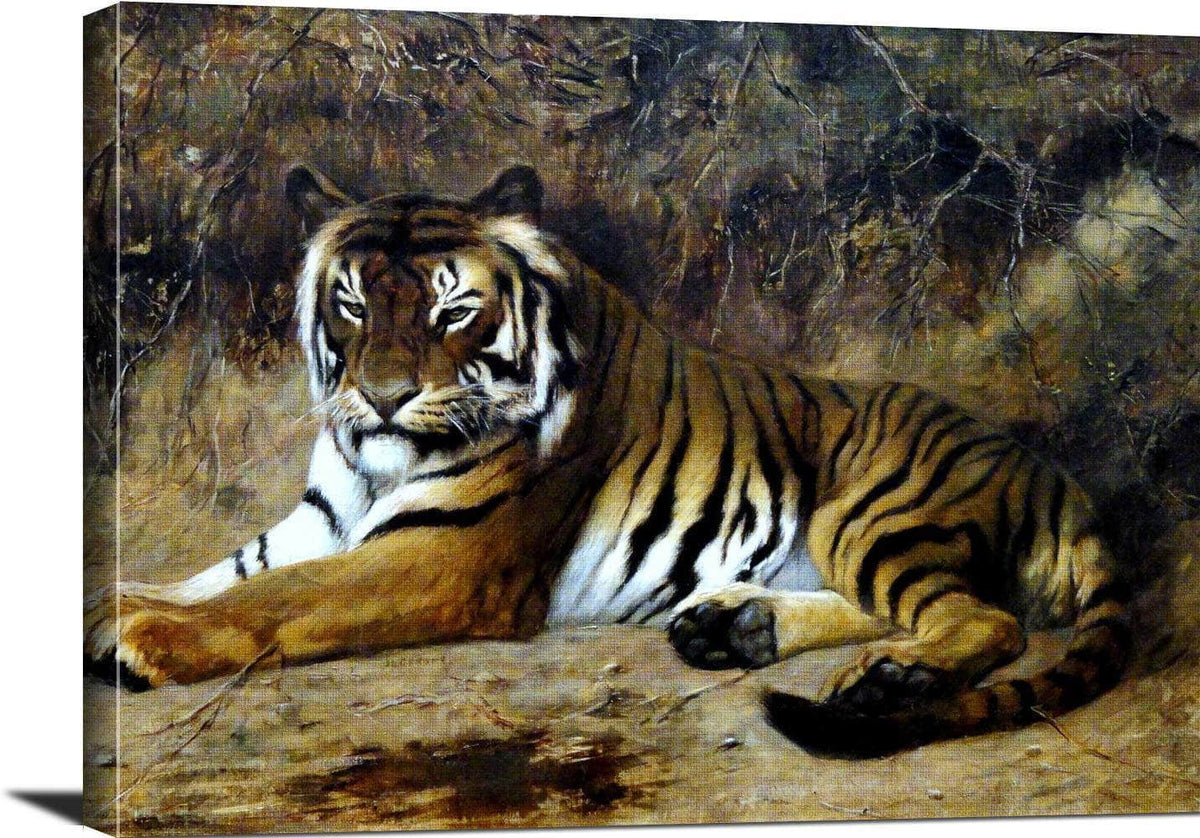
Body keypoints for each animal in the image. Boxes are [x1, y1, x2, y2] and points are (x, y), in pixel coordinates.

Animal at [84, 164, 1132, 758]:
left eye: (451, 309)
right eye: (351, 303)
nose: (380, 399)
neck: (376, 463)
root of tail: (1056, 475)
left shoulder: (445, 559)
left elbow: (273, 600)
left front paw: (143, 640)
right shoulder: (319, 523)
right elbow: (217, 574)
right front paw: (116, 604)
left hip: (867, 511)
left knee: (985, 617)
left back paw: (892, 680)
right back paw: (739, 628)